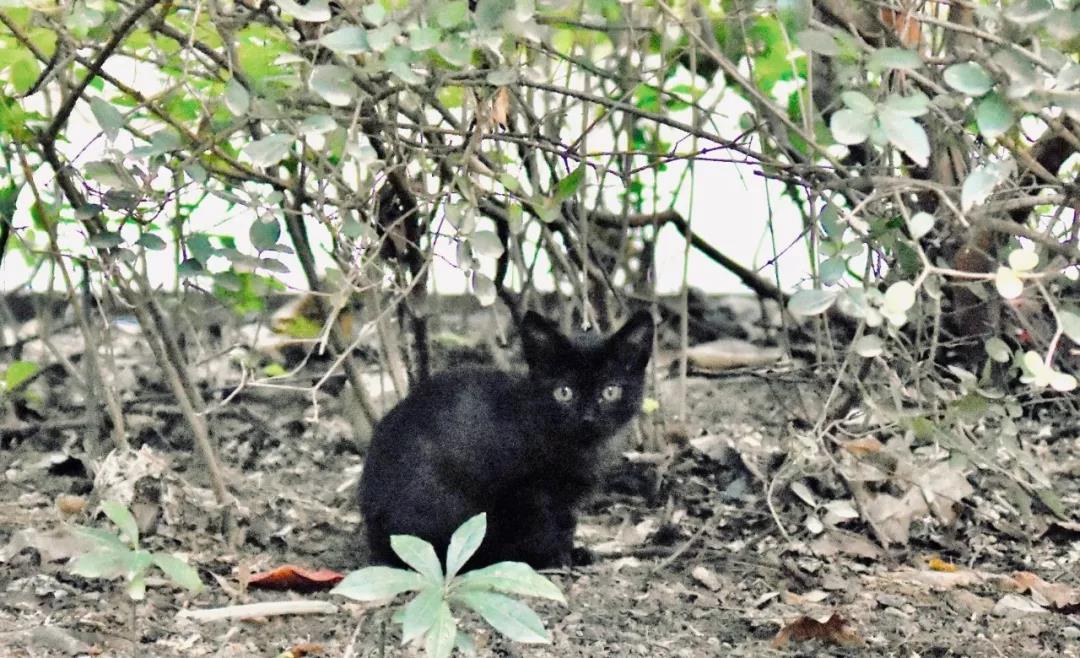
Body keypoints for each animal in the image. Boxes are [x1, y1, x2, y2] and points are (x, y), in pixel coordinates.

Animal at [358, 309, 654, 570]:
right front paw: (554, 559)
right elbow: (542, 528)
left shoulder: (565, 500)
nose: (588, 417)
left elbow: (565, 524)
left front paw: (573, 553)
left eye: (610, 391)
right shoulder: (524, 492)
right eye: (564, 392)